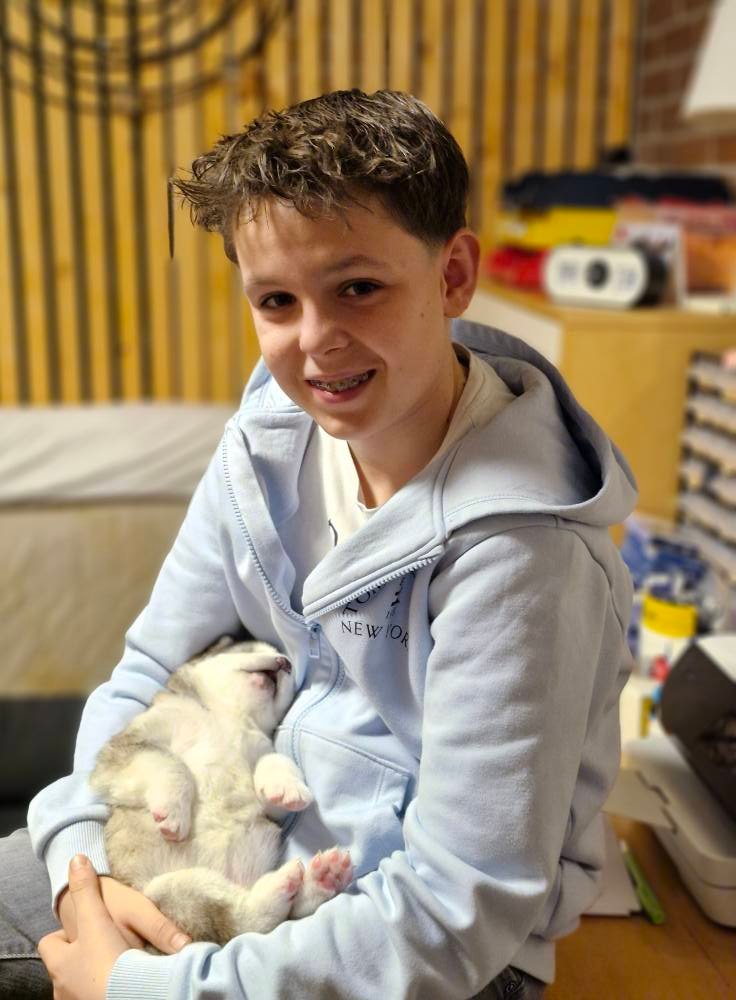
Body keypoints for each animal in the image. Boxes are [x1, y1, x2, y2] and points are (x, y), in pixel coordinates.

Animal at [90, 637, 352, 945]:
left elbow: (275, 761)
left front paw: (287, 787)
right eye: (249, 648)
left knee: (260, 921)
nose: (286, 662)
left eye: (289, 670)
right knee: (239, 922)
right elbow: (172, 765)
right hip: (172, 892)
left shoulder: (261, 756)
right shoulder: (126, 749)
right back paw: (298, 883)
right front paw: (173, 812)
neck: (226, 716)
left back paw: (321, 878)